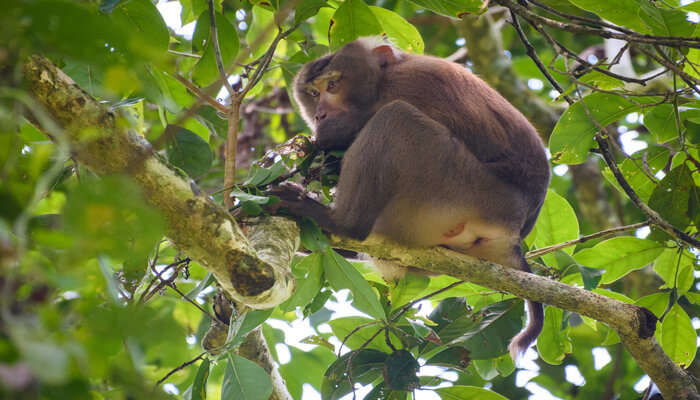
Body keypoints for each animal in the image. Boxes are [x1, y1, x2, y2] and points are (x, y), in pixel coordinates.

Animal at [274, 37, 552, 360]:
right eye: (313, 93)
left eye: (332, 85)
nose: (319, 115)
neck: (383, 80)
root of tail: (513, 234)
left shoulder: (412, 83)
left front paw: (325, 144)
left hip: (461, 188)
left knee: (396, 118)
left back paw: (341, 222)